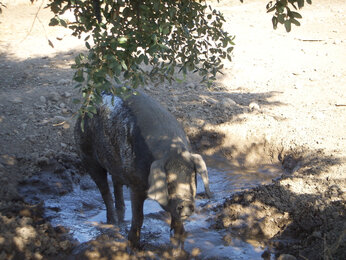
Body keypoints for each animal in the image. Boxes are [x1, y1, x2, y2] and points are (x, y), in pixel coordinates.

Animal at [74, 91, 212, 248]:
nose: (186, 202)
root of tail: (88, 101)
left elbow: (176, 219)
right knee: (104, 190)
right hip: (87, 155)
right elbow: (139, 216)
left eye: (192, 177)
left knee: (116, 183)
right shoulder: (135, 185)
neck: (172, 152)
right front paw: (133, 243)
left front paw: (179, 236)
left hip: (115, 163)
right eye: (168, 182)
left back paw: (120, 214)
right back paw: (112, 223)